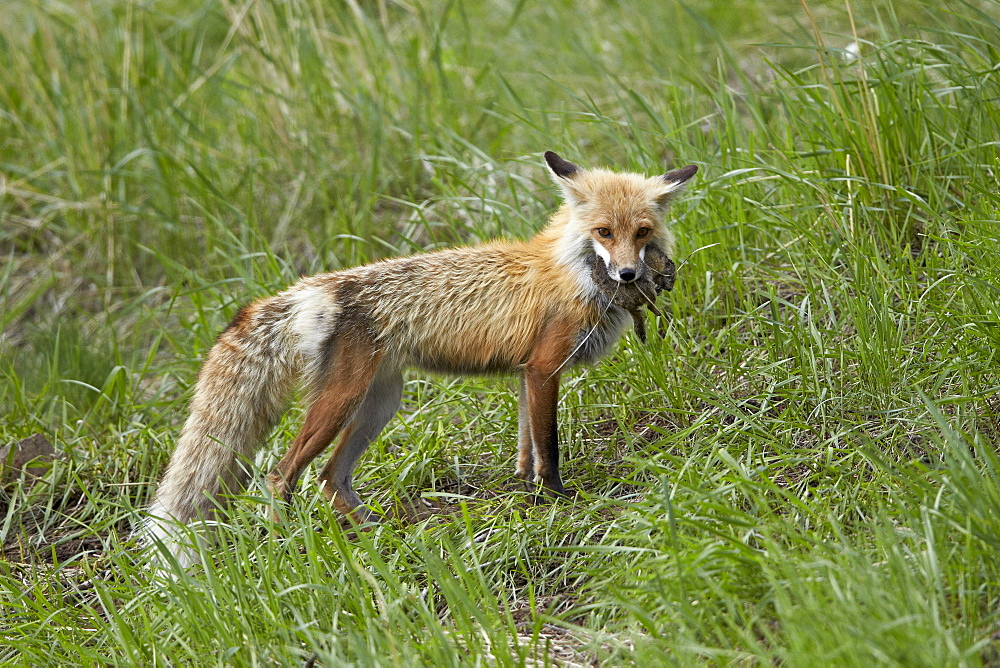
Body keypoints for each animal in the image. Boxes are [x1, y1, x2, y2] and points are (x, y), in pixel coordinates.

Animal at [146, 154, 696, 568]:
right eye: (603, 231)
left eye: (641, 232)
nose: (628, 276)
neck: (572, 272)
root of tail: (310, 288)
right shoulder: (544, 368)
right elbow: (550, 447)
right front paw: (558, 500)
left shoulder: (525, 373)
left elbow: (526, 447)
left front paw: (526, 493)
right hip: (342, 403)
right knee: (281, 476)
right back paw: (291, 547)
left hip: (379, 404)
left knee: (330, 478)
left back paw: (380, 535)